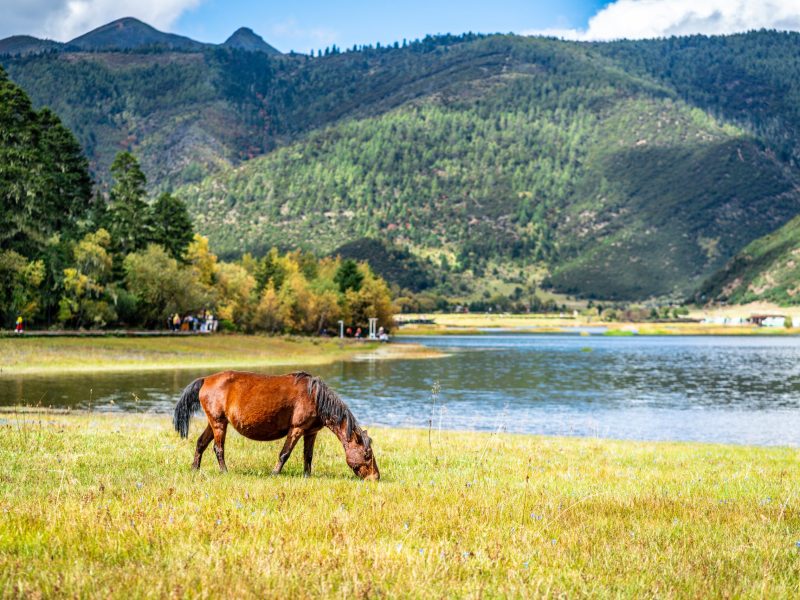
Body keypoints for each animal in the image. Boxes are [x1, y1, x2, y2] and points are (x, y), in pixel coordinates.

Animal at [172, 368, 378, 480]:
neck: (315, 397)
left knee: (201, 443)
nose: (375, 477)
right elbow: (284, 453)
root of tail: (206, 379)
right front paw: (275, 473)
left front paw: (307, 475)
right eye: (367, 454)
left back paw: (194, 468)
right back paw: (224, 471)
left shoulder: (311, 432)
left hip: (213, 422)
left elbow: (308, 456)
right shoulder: (297, 429)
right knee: (218, 448)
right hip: (219, 423)